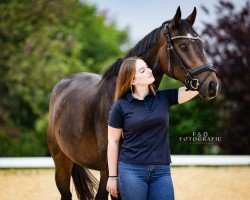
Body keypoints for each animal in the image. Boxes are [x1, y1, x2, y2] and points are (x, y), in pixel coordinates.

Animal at [46, 6, 219, 200]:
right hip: (63, 163)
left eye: (201, 45)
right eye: (183, 46)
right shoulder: (114, 171)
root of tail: (62, 85)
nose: (212, 85)